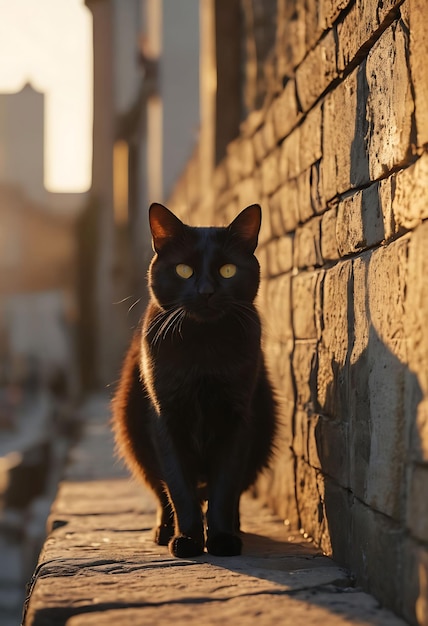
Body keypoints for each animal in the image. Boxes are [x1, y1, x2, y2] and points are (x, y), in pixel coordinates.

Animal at [112, 204, 276, 556]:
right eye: (184, 270)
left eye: (228, 270)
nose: (206, 292)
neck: (203, 347)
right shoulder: (165, 418)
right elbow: (178, 487)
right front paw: (187, 539)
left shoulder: (237, 417)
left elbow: (224, 487)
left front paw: (222, 539)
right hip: (133, 433)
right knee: (161, 492)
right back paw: (163, 531)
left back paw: (235, 527)